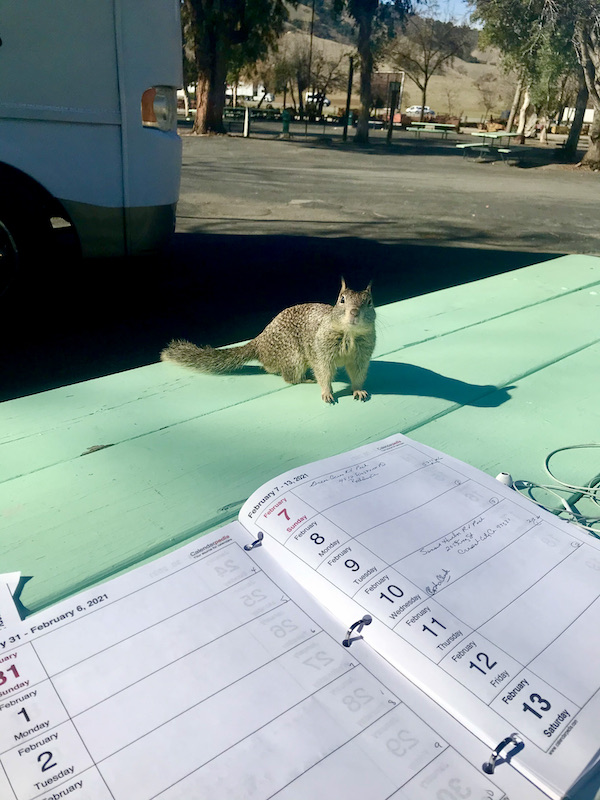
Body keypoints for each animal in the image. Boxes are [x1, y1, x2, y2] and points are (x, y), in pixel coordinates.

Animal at [160, 279, 376, 403]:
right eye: (341, 299)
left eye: (370, 302)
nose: (354, 312)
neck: (349, 335)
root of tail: (259, 342)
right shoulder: (322, 353)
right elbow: (323, 373)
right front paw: (326, 393)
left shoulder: (361, 357)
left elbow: (358, 374)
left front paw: (359, 391)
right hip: (293, 358)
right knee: (289, 377)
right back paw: (306, 379)